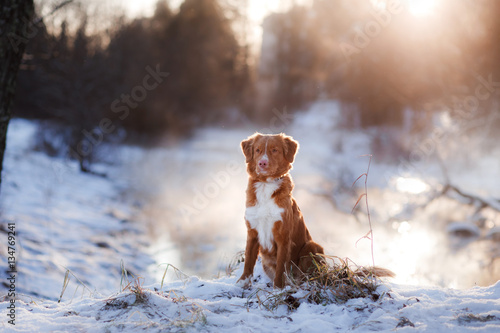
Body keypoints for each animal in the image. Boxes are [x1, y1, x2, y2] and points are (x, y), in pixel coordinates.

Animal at [237, 132, 326, 288]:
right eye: (258, 150)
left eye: (274, 150)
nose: (262, 163)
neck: (266, 185)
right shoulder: (252, 232)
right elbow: (248, 261)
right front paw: (242, 282)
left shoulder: (283, 235)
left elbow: (280, 266)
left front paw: (278, 288)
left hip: (311, 246)